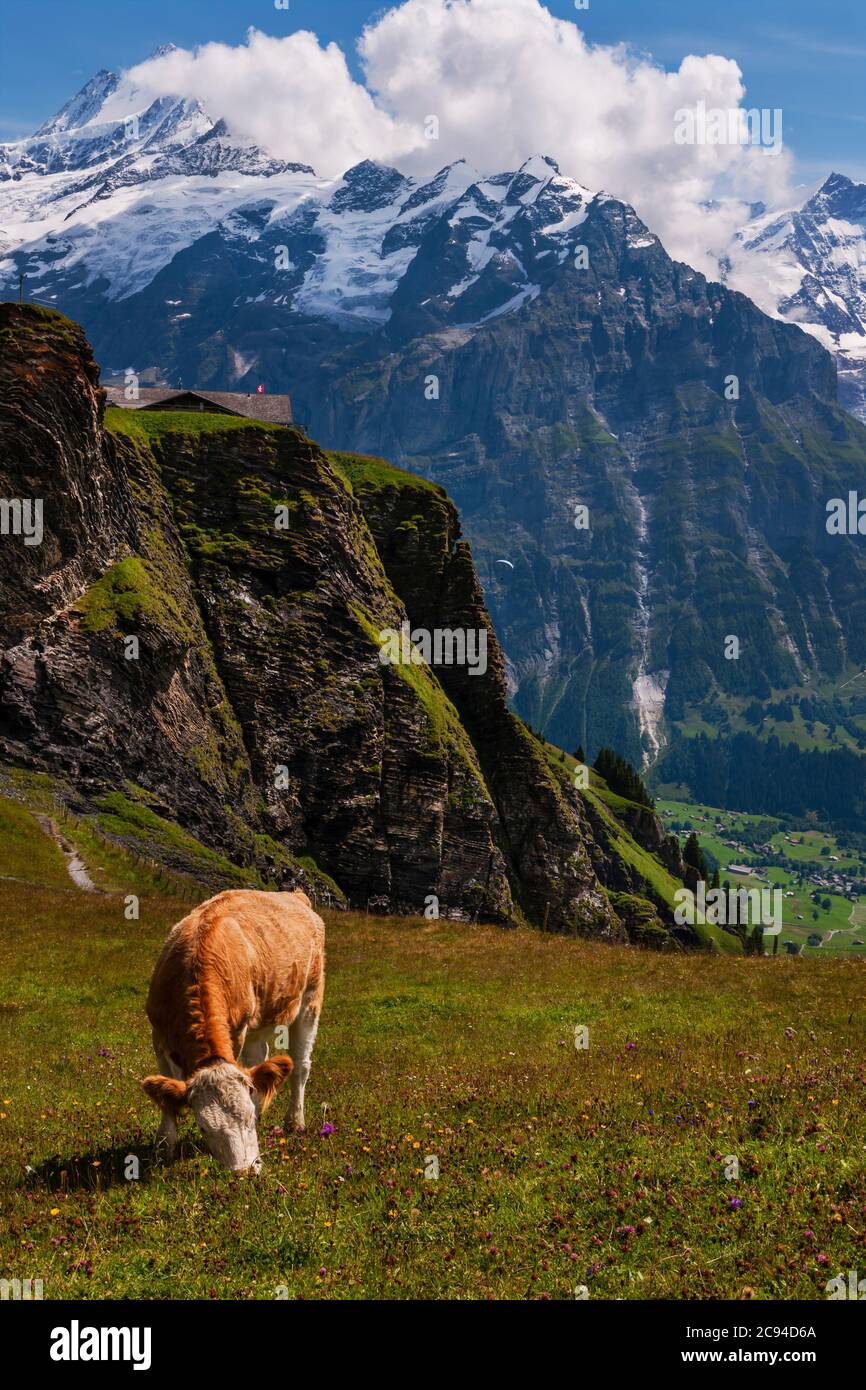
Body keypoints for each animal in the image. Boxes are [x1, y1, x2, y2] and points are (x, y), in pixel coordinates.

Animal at [141, 888, 325, 1173]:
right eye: (203, 1128)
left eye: (246, 1118)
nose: (245, 1171)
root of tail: (295, 895)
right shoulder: (159, 1036)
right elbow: (166, 1097)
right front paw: (163, 1148)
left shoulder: (236, 1032)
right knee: (260, 1055)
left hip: (310, 999)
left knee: (301, 1065)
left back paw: (295, 1122)